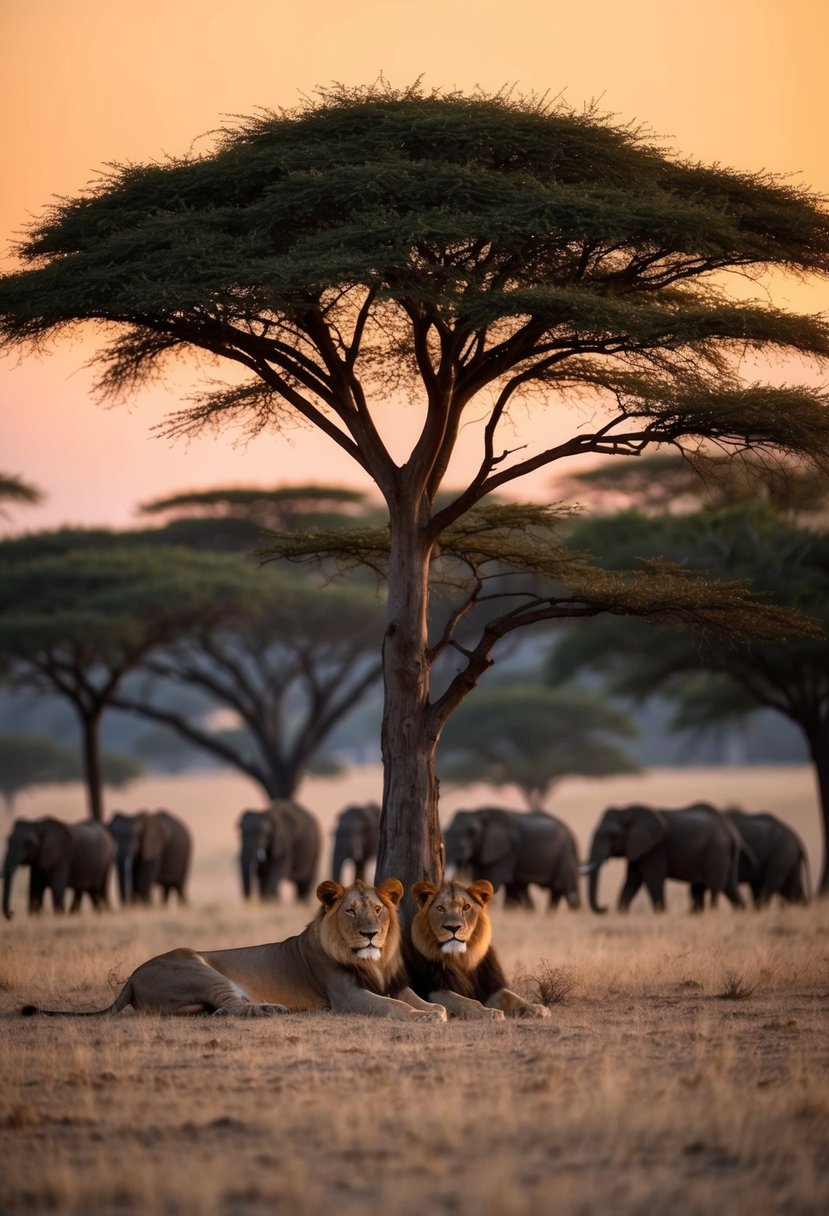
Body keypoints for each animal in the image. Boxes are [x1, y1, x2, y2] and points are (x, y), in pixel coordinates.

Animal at [21, 878, 446, 1021]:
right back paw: (273, 1010)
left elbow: (418, 998)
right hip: (199, 969)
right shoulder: (347, 996)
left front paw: (436, 1010)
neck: (373, 962)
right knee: (229, 1009)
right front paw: (424, 1018)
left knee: (221, 1010)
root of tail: (132, 976)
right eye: (350, 911)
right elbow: (392, 1007)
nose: (371, 935)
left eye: (378, 909)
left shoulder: (391, 983)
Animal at [404, 878, 549, 1020]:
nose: (453, 927)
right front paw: (489, 1012)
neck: (460, 959)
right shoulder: (433, 989)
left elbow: (511, 996)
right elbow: (467, 1001)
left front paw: (537, 1008)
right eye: (440, 908)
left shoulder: (489, 986)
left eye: (466, 907)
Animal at [443, 807, 581, 910]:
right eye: (445, 832)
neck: (479, 813)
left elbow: (491, 882)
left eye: (472, 832)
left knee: (568, 889)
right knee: (553, 892)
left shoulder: (505, 851)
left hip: (566, 853)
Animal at [584, 802, 744, 913]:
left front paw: (660, 912)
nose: (605, 907)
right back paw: (740, 911)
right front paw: (622, 912)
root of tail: (732, 832)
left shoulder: (655, 848)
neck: (628, 811)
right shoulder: (639, 848)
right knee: (729, 886)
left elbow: (652, 876)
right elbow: (632, 880)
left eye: (612, 835)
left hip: (717, 849)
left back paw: (712, 911)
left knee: (715, 885)